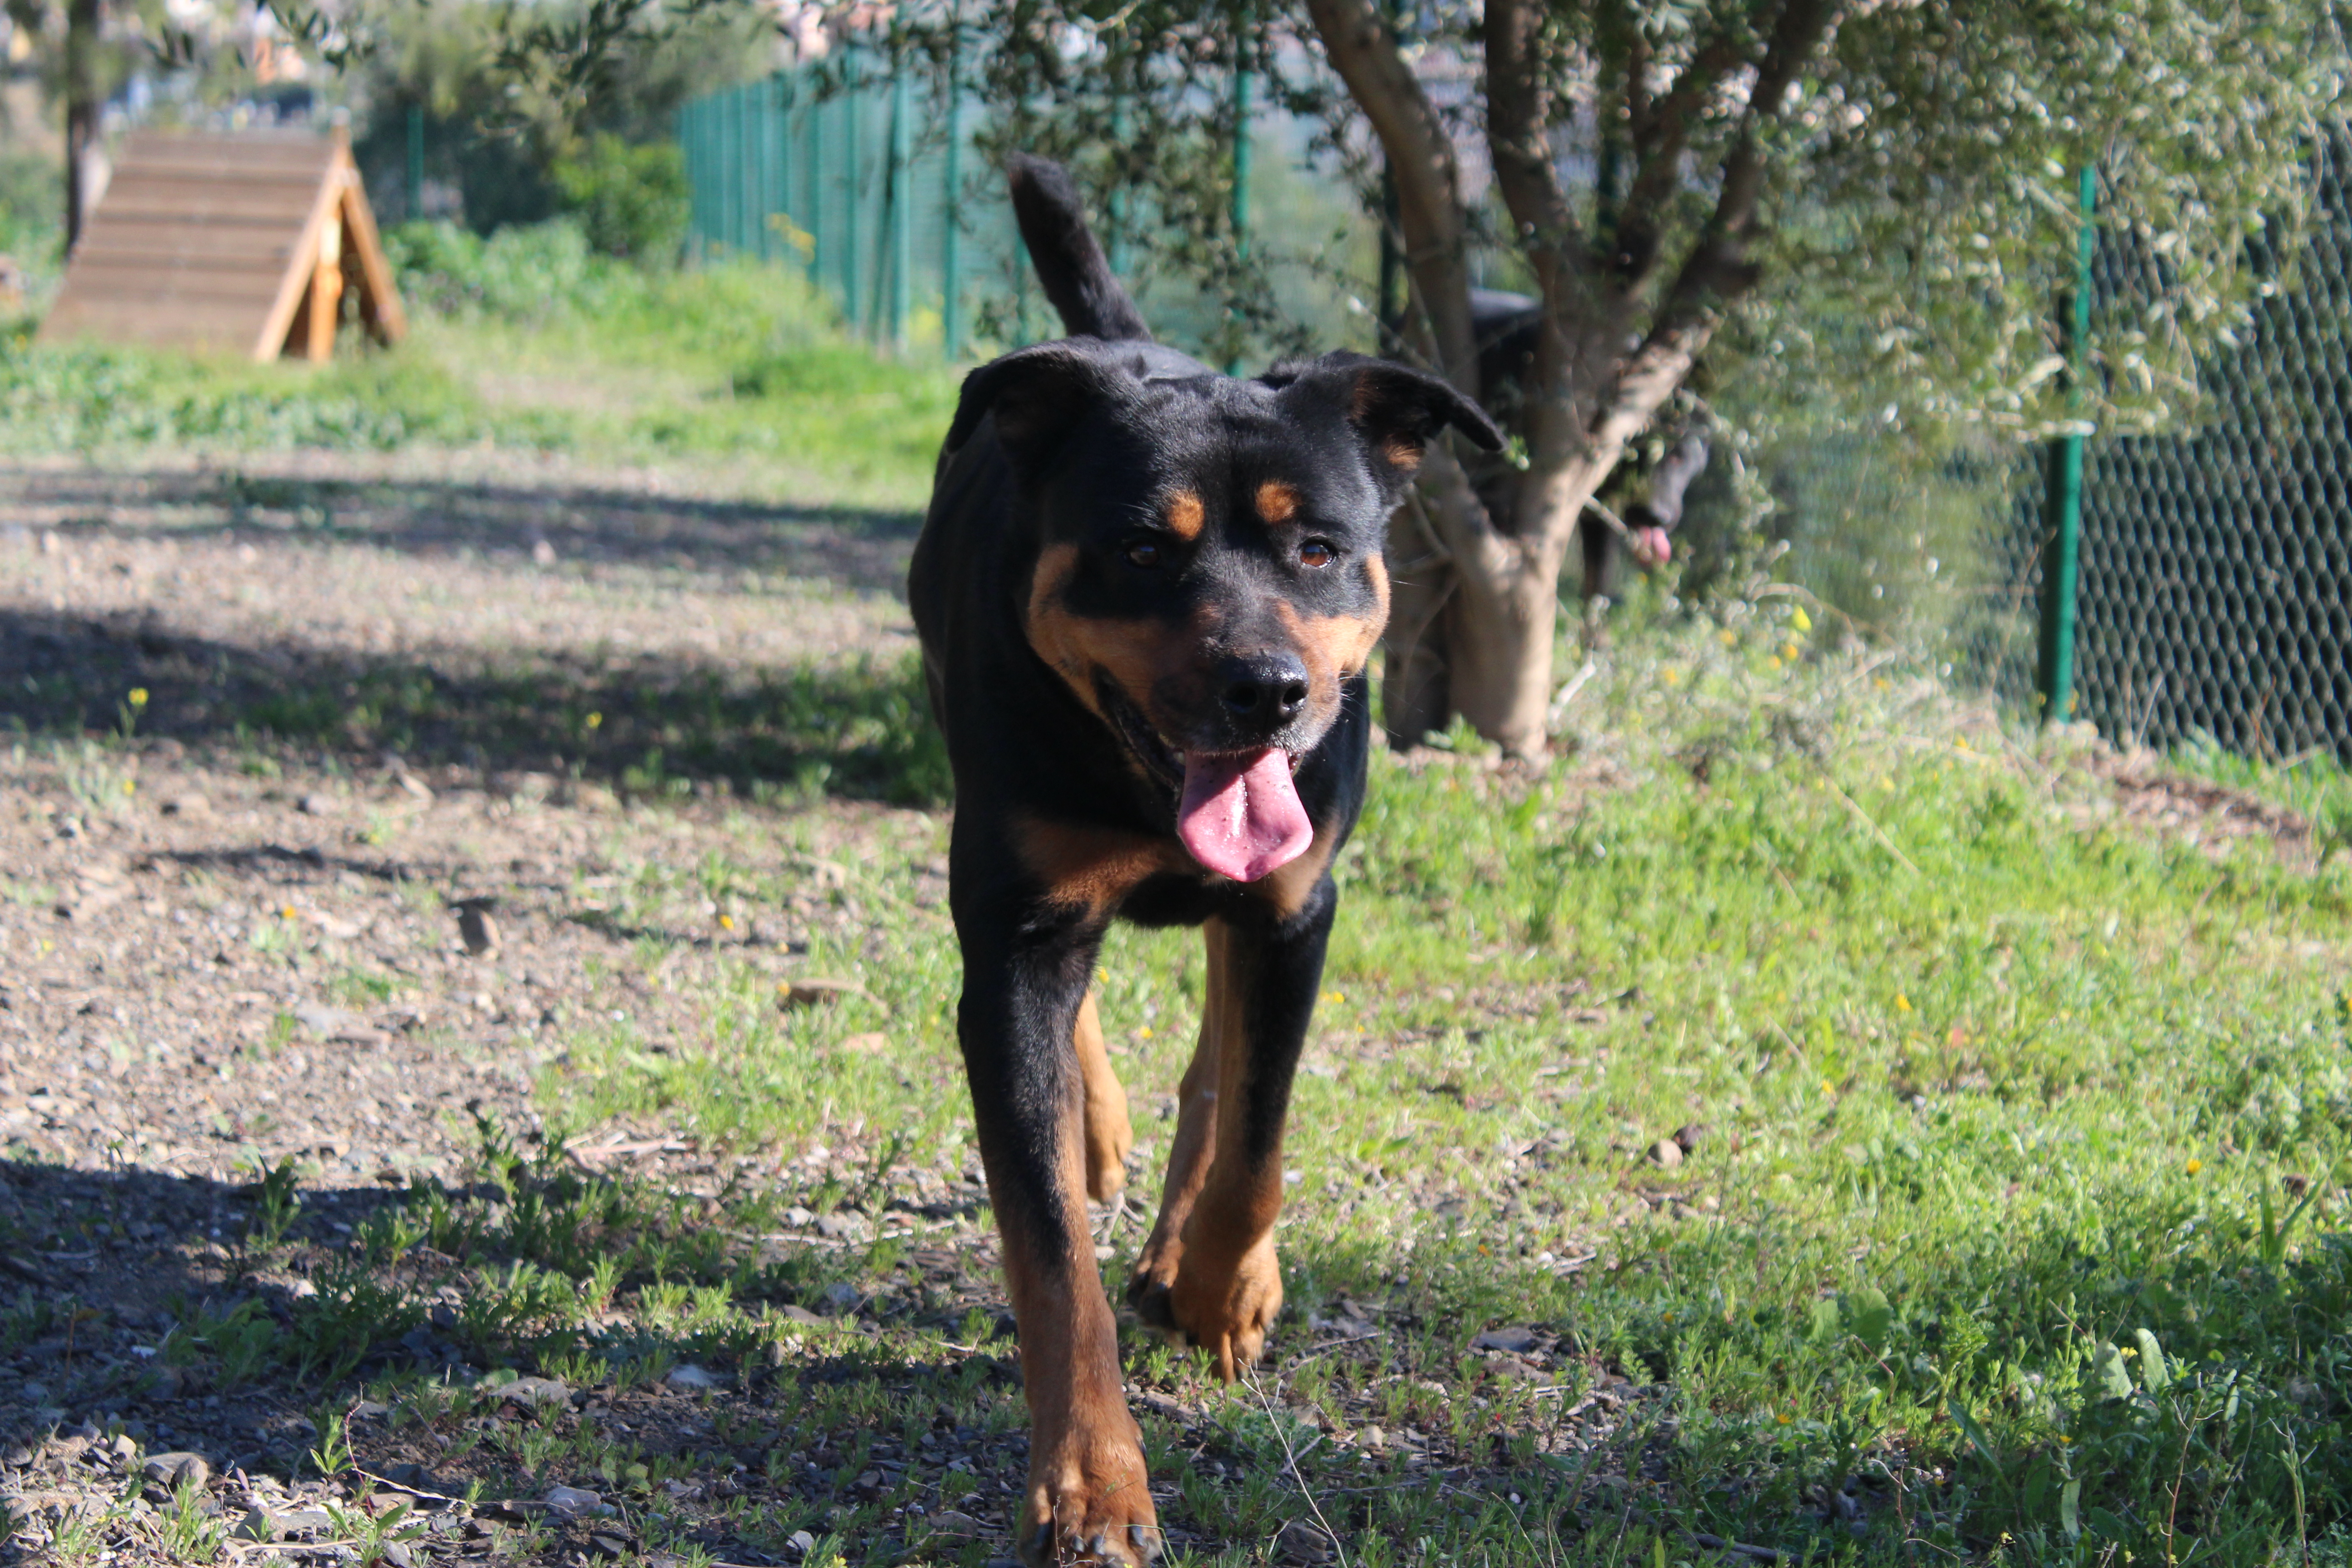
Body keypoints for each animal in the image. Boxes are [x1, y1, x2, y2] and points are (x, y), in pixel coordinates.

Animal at [908, 162, 1496, 1568]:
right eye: (1141, 549)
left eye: (1318, 548)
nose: (1266, 689)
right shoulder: (1017, 931)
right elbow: (1050, 1249)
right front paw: (1090, 1485)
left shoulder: (1295, 905)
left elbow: (1257, 1129)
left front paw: (1224, 1286)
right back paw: (1099, 1125)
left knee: (1221, 1063)